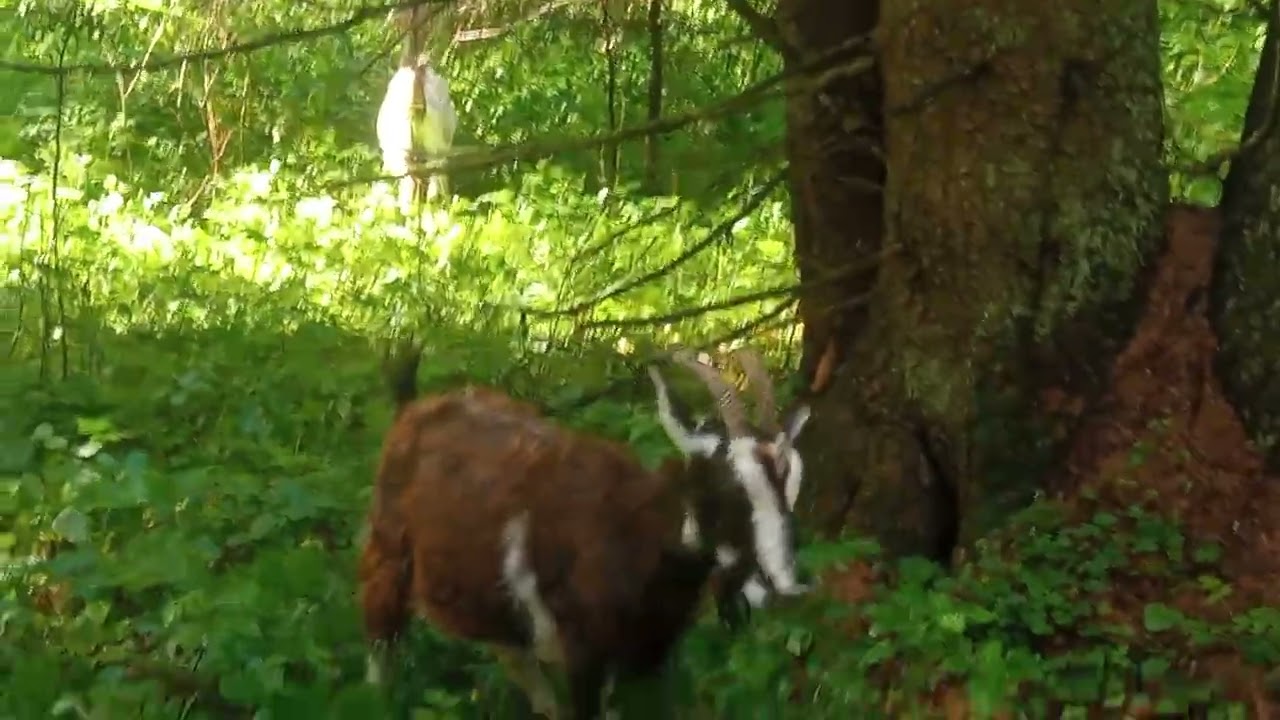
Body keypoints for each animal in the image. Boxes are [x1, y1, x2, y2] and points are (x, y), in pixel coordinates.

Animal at [358, 344, 812, 719]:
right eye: (724, 487)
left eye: (793, 485)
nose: (786, 590)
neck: (633, 531)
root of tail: (415, 407)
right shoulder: (584, 654)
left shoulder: (646, 659)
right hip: (388, 555)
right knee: (381, 646)